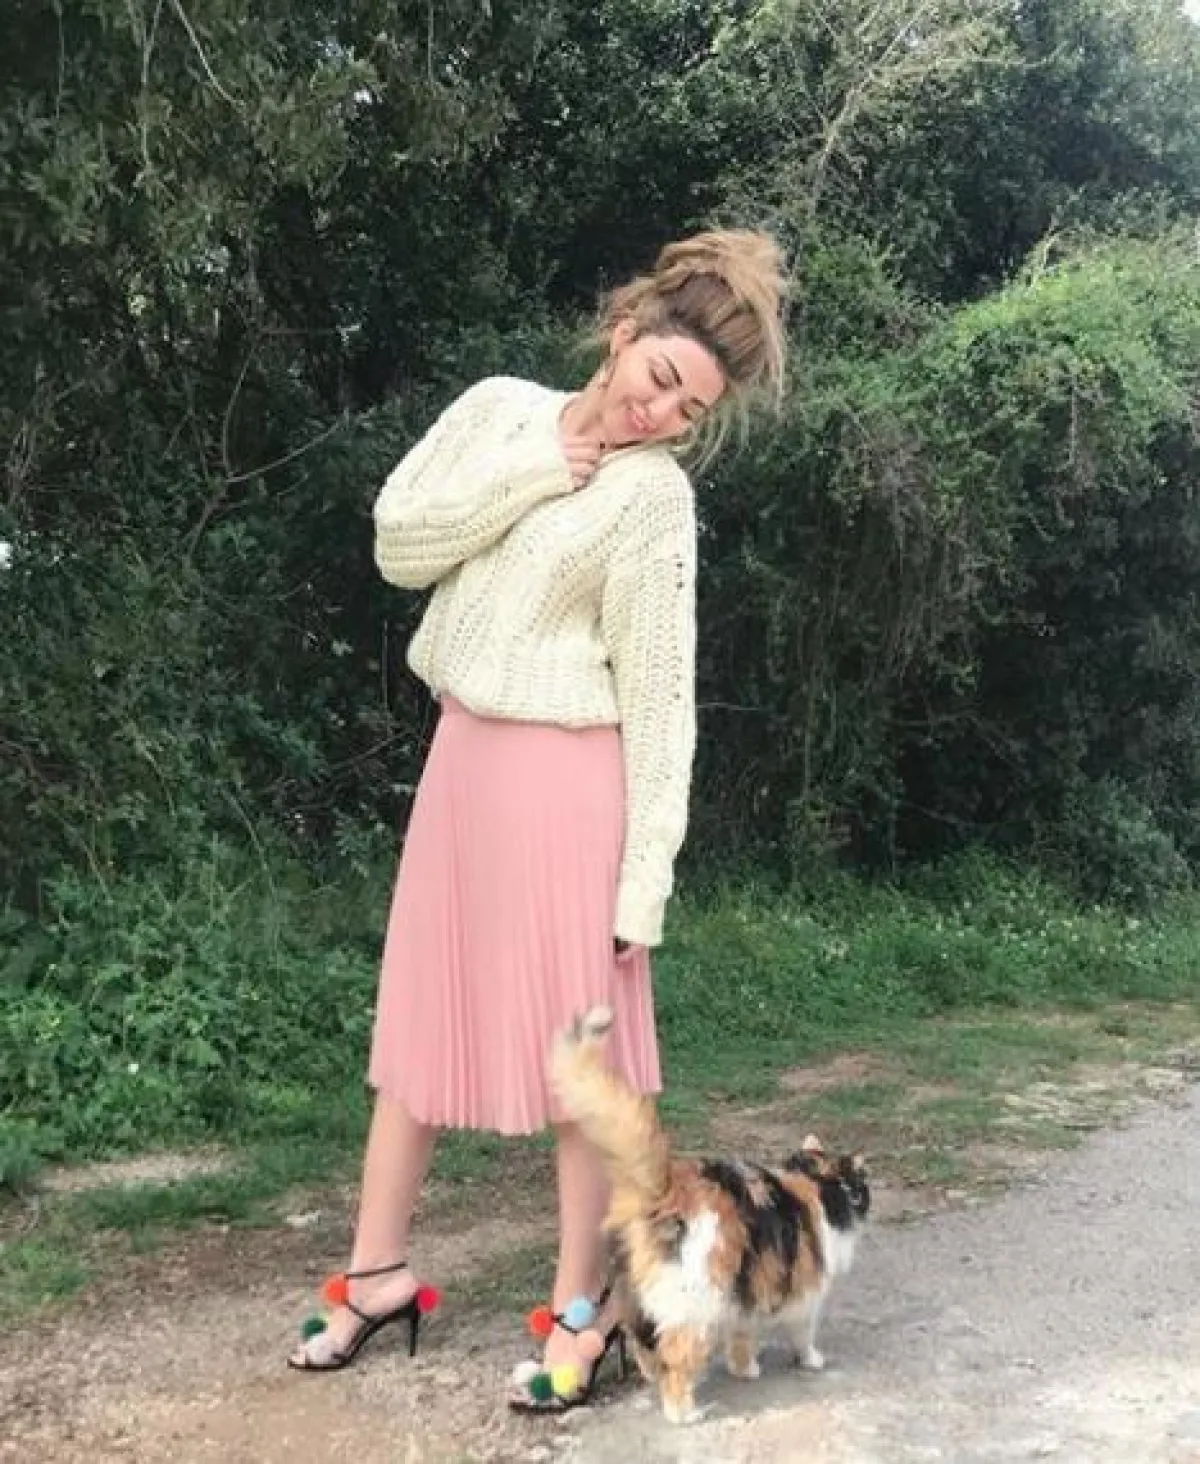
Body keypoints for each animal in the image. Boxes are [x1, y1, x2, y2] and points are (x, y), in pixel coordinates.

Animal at [551, 1005, 870, 1423]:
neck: (815, 1184)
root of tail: (664, 1188)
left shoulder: (749, 1286)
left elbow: (742, 1335)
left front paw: (745, 1368)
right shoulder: (804, 1289)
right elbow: (803, 1333)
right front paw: (811, 1360)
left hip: (634, 1294)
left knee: (641, 1342)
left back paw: (652, 1378)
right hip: (695, 1301)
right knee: (675, 1358)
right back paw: (683, 1412)